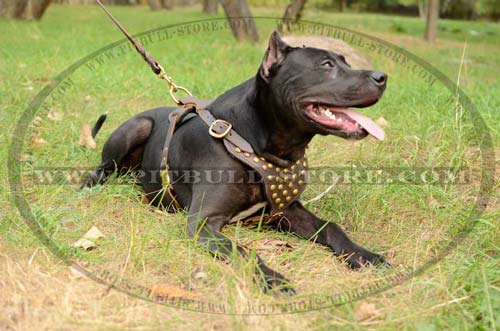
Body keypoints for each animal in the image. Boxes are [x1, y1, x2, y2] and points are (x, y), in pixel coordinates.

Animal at [83, 31, 386, 296]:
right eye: (326, 65)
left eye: (346, 62)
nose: (382, 77)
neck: (256, 144)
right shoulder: (203, 223)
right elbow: (245, 251)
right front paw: (274, 280)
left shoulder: (287, 210)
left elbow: (331, 226)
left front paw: (364, 255)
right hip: (136, 128)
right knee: (102, 167)